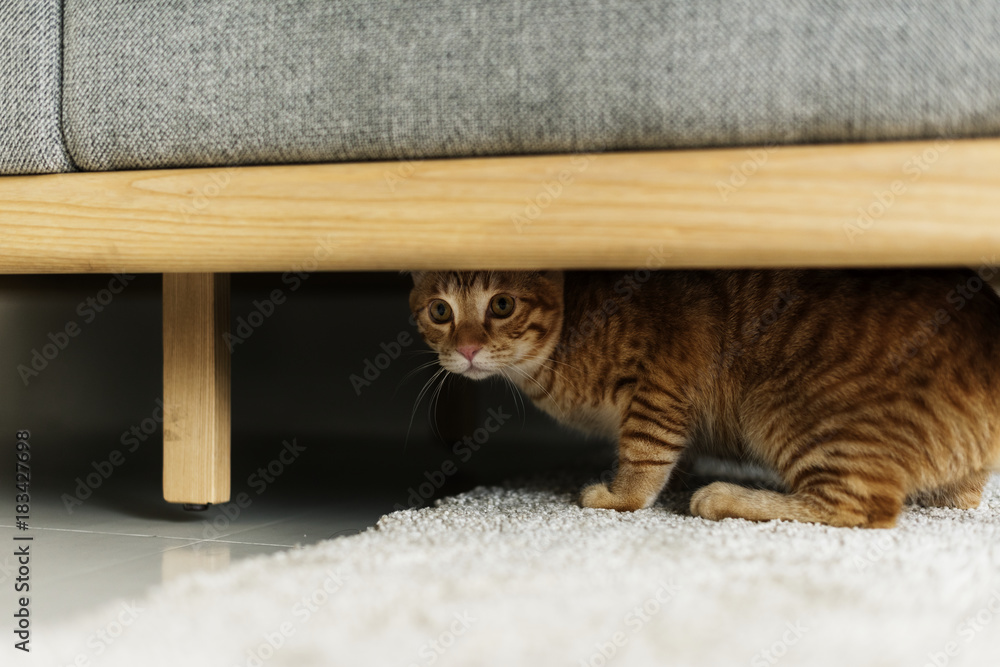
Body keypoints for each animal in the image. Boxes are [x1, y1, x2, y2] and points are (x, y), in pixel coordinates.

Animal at [408, 270, 1000, 528]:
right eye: (440, 311)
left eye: (501, 304)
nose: (466, 349)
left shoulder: (660, 383)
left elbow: (643, 456)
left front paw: (620, 496)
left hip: (784, 409)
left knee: (858, 507)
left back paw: (727, 498)